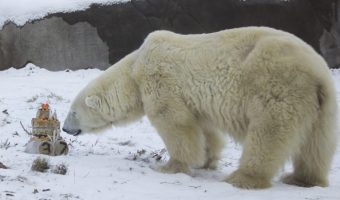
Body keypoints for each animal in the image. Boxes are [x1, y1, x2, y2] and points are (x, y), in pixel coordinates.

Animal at [63, 27, 338, 189]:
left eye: (73, 112)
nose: (65, 129)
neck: (133, 70)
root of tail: (317, 71)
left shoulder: (160, 80)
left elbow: (174, 123)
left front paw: (170, 166)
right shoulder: (195, 100)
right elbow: (204, 129)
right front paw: (206, 160)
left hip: (276, 86)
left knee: (268, 134)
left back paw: (242, 178)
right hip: (321, 104)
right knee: (317, 144)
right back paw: (302, 179)